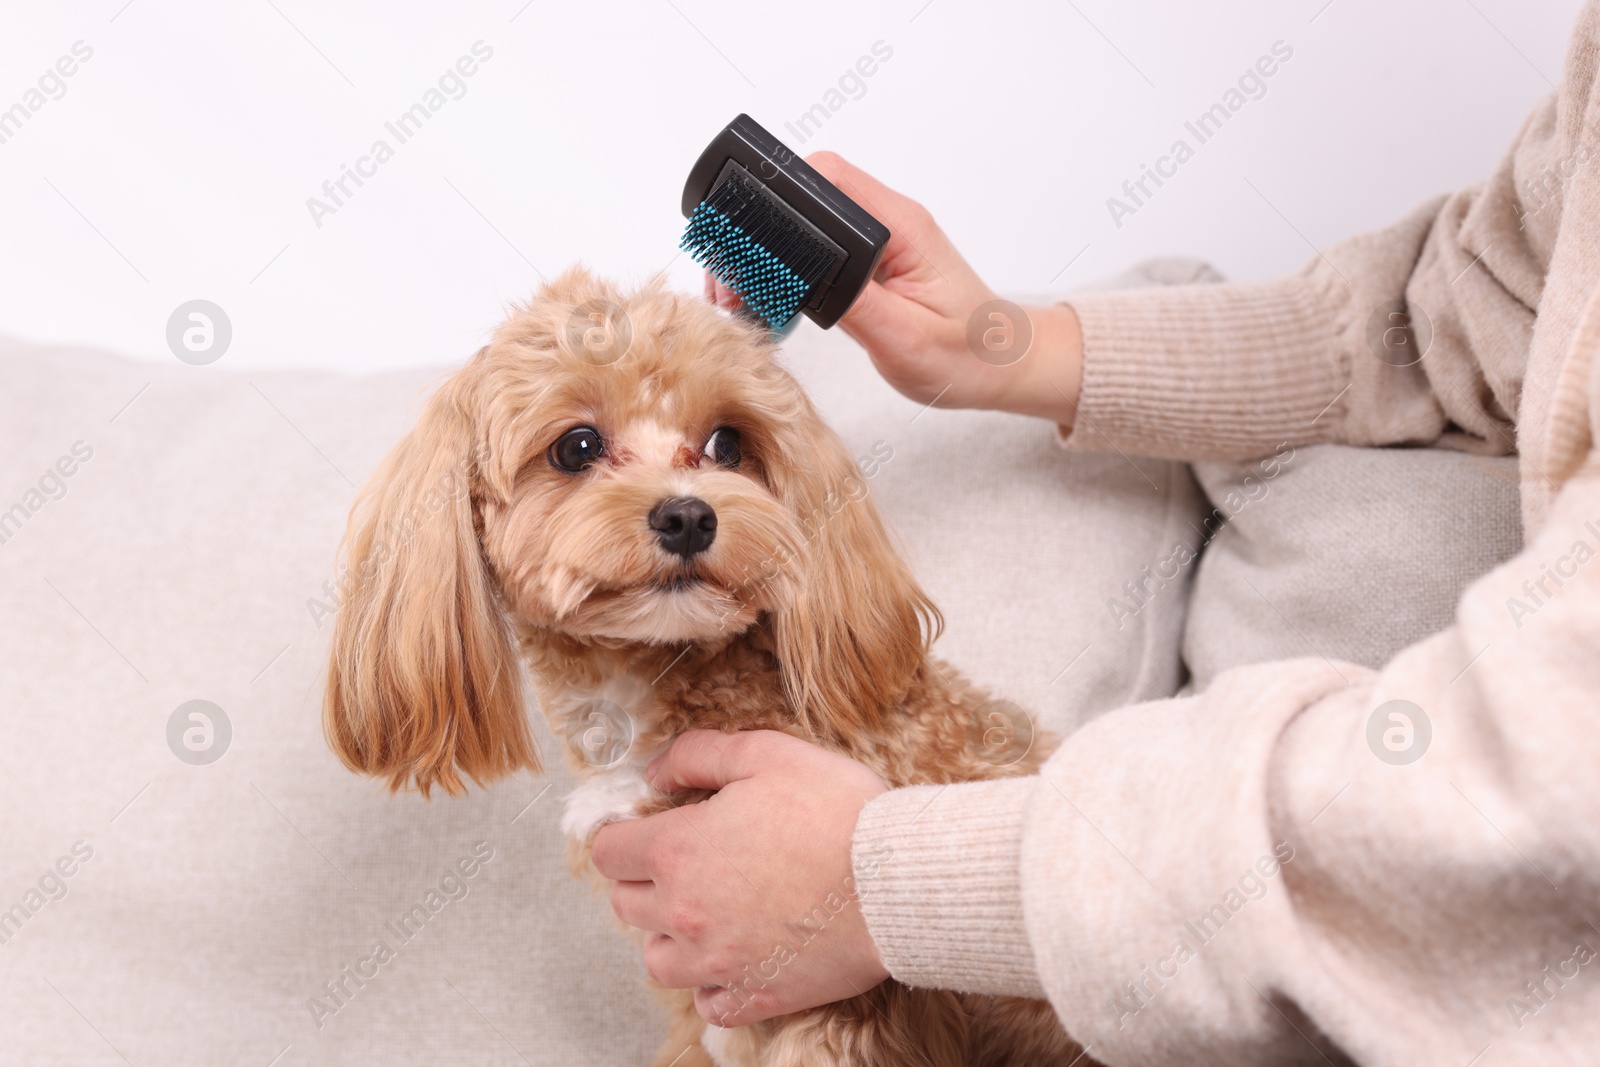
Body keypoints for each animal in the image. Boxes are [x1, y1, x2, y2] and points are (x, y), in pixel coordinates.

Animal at [324, 268, 1100, 1067]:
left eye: (727, 443)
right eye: (576, 446)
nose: (689, 516)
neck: (648, 692)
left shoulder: (835, 1012)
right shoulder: (698, 1010)